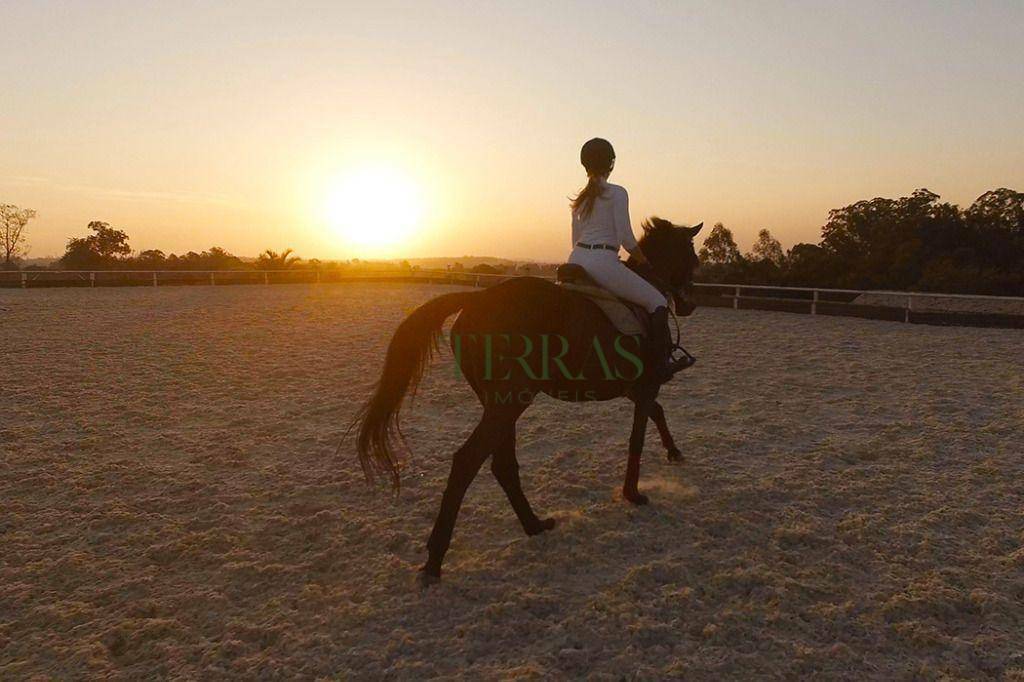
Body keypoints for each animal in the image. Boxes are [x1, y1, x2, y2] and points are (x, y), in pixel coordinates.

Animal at [354, 215, 704, 581]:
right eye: (691, 257)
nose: (689, 304)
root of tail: (478, 300)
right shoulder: (647, 384)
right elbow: (638, 436)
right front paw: (633, 494)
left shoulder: (633, 387)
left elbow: (657, 413)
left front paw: (673, 452)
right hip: (509, 400)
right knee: (468, 461)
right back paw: (436, 560)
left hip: (501, 403)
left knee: (501, 464)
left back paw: (534, 524)